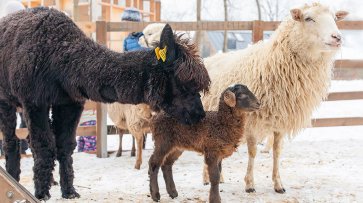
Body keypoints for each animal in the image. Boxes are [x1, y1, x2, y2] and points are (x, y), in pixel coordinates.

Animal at [203, 3, 348, 193]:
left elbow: (277, 151)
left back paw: (219, 177)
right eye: (308, 18)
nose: (337, 37)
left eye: (335, 18)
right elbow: (252, 152)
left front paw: (278, 184)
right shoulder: (252, 120)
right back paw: (207, 178)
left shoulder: (281, 121)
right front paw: (250, 184)